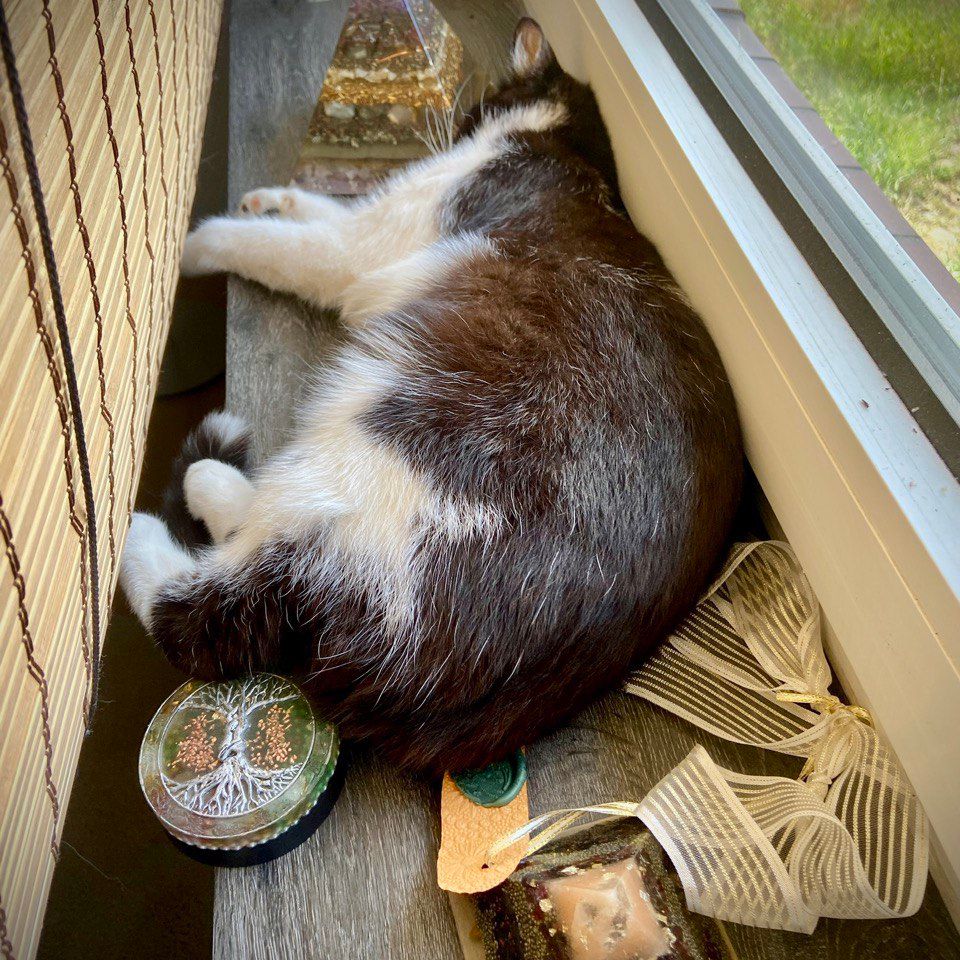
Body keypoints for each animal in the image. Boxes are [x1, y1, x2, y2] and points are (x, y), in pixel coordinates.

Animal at [120, 19, 743, 777]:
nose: (455, 123)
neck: (566, 147)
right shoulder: (371, 217)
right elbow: (326, 206)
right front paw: (275, 198)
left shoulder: (360, 250)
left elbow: (281, 245)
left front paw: (200, 239)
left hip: (378, 423)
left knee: (215, 602)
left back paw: (163, 512)